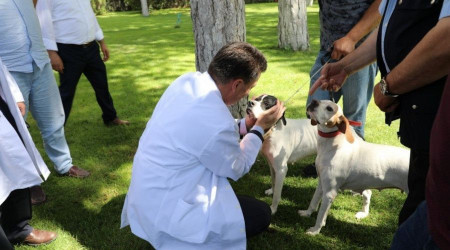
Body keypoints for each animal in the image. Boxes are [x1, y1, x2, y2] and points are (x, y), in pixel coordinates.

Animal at [298, 99, 412, 234]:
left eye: (330, 108)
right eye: (321, 101)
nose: (314, 101)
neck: (333, 145)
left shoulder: (330, 192)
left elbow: (321, 215)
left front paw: (315, 231)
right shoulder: (321, 183)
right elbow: (314, 201)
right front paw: (307, 213)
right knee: (368, 194)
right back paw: (363, 213)